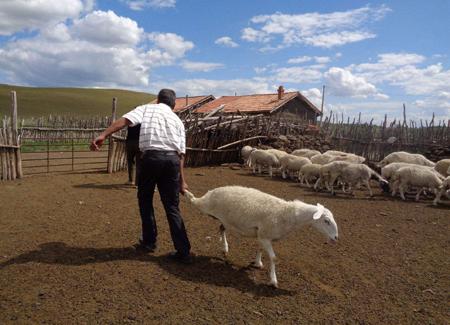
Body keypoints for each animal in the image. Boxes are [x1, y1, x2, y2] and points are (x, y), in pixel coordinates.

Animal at [183, 185, 338, 286]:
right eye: (326, 221)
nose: (336, 238)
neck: (288, 214)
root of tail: (212, 191)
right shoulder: (264, 236)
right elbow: (274, 258)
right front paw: (273, 280)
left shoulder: (262, 235)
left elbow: (260, 249)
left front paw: (258, 263)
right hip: (205, 205)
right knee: (194, 201)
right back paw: (186, 192)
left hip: (226, 219)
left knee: (221, 228)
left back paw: (225, 247)